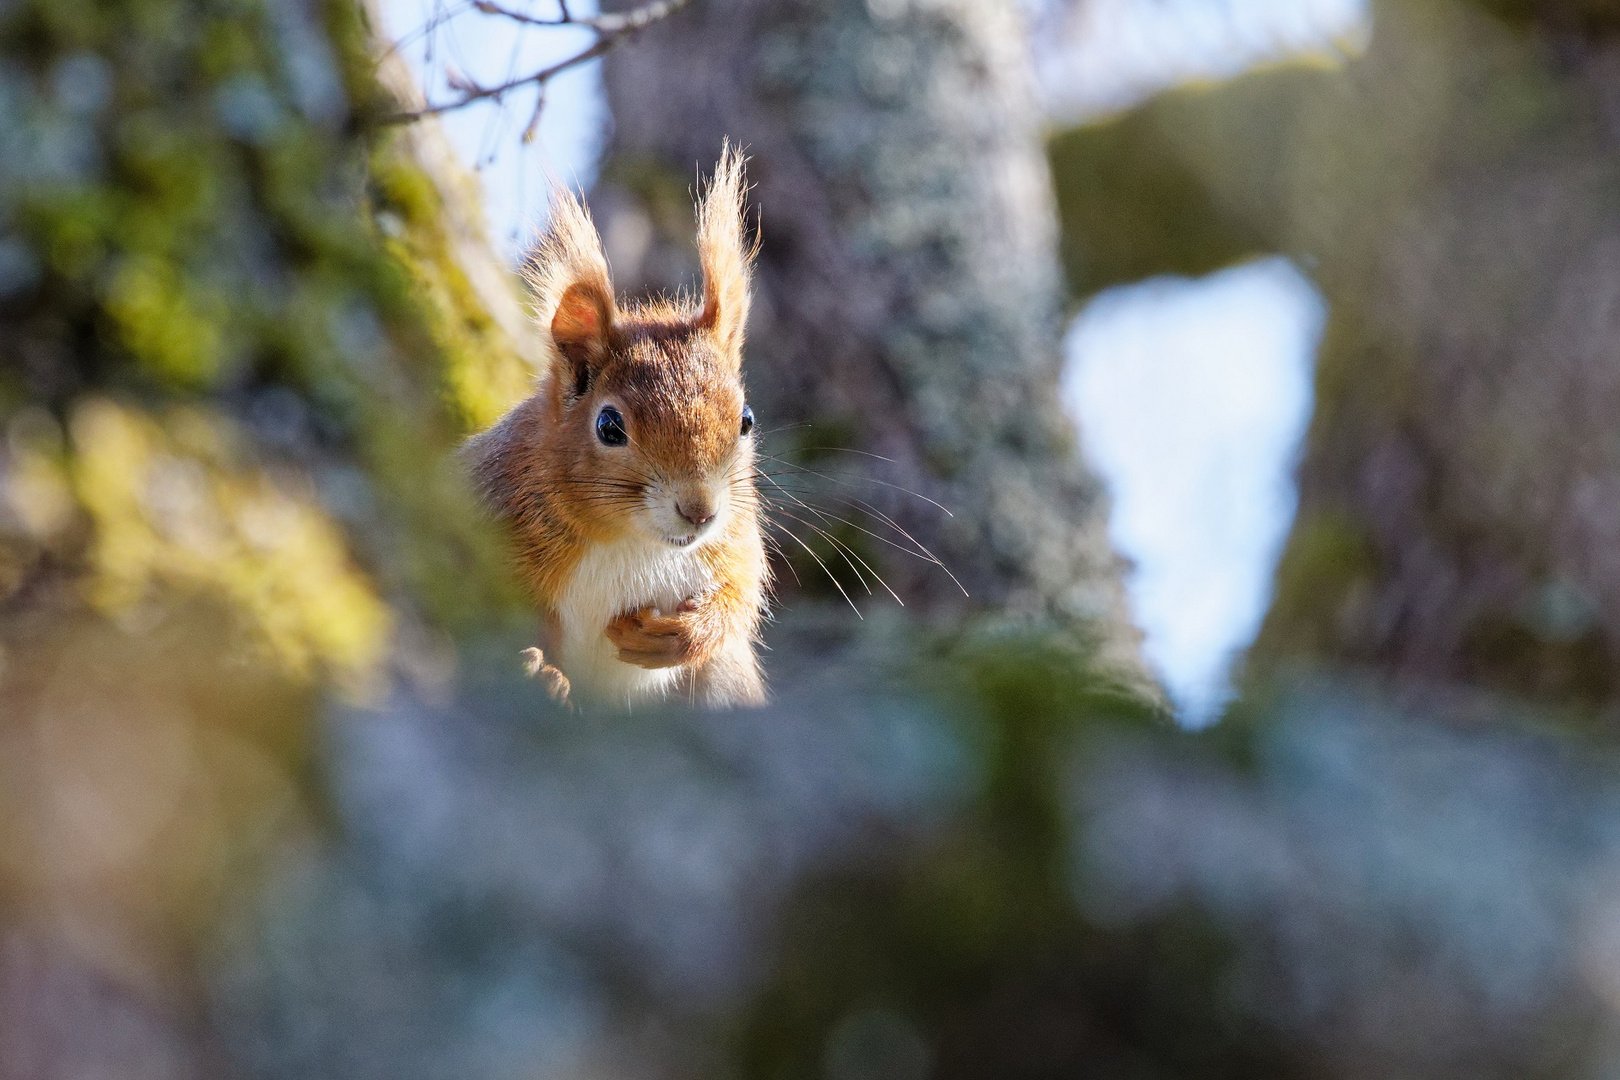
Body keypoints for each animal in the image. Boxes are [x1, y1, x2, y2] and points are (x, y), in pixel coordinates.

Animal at [469, 152, 771, 709]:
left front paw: (683, 633)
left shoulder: (735, 538)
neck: (634, 539)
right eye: (609, 426)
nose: (700, 511)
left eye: (746, 420)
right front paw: (542, 673)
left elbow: (740, 594)